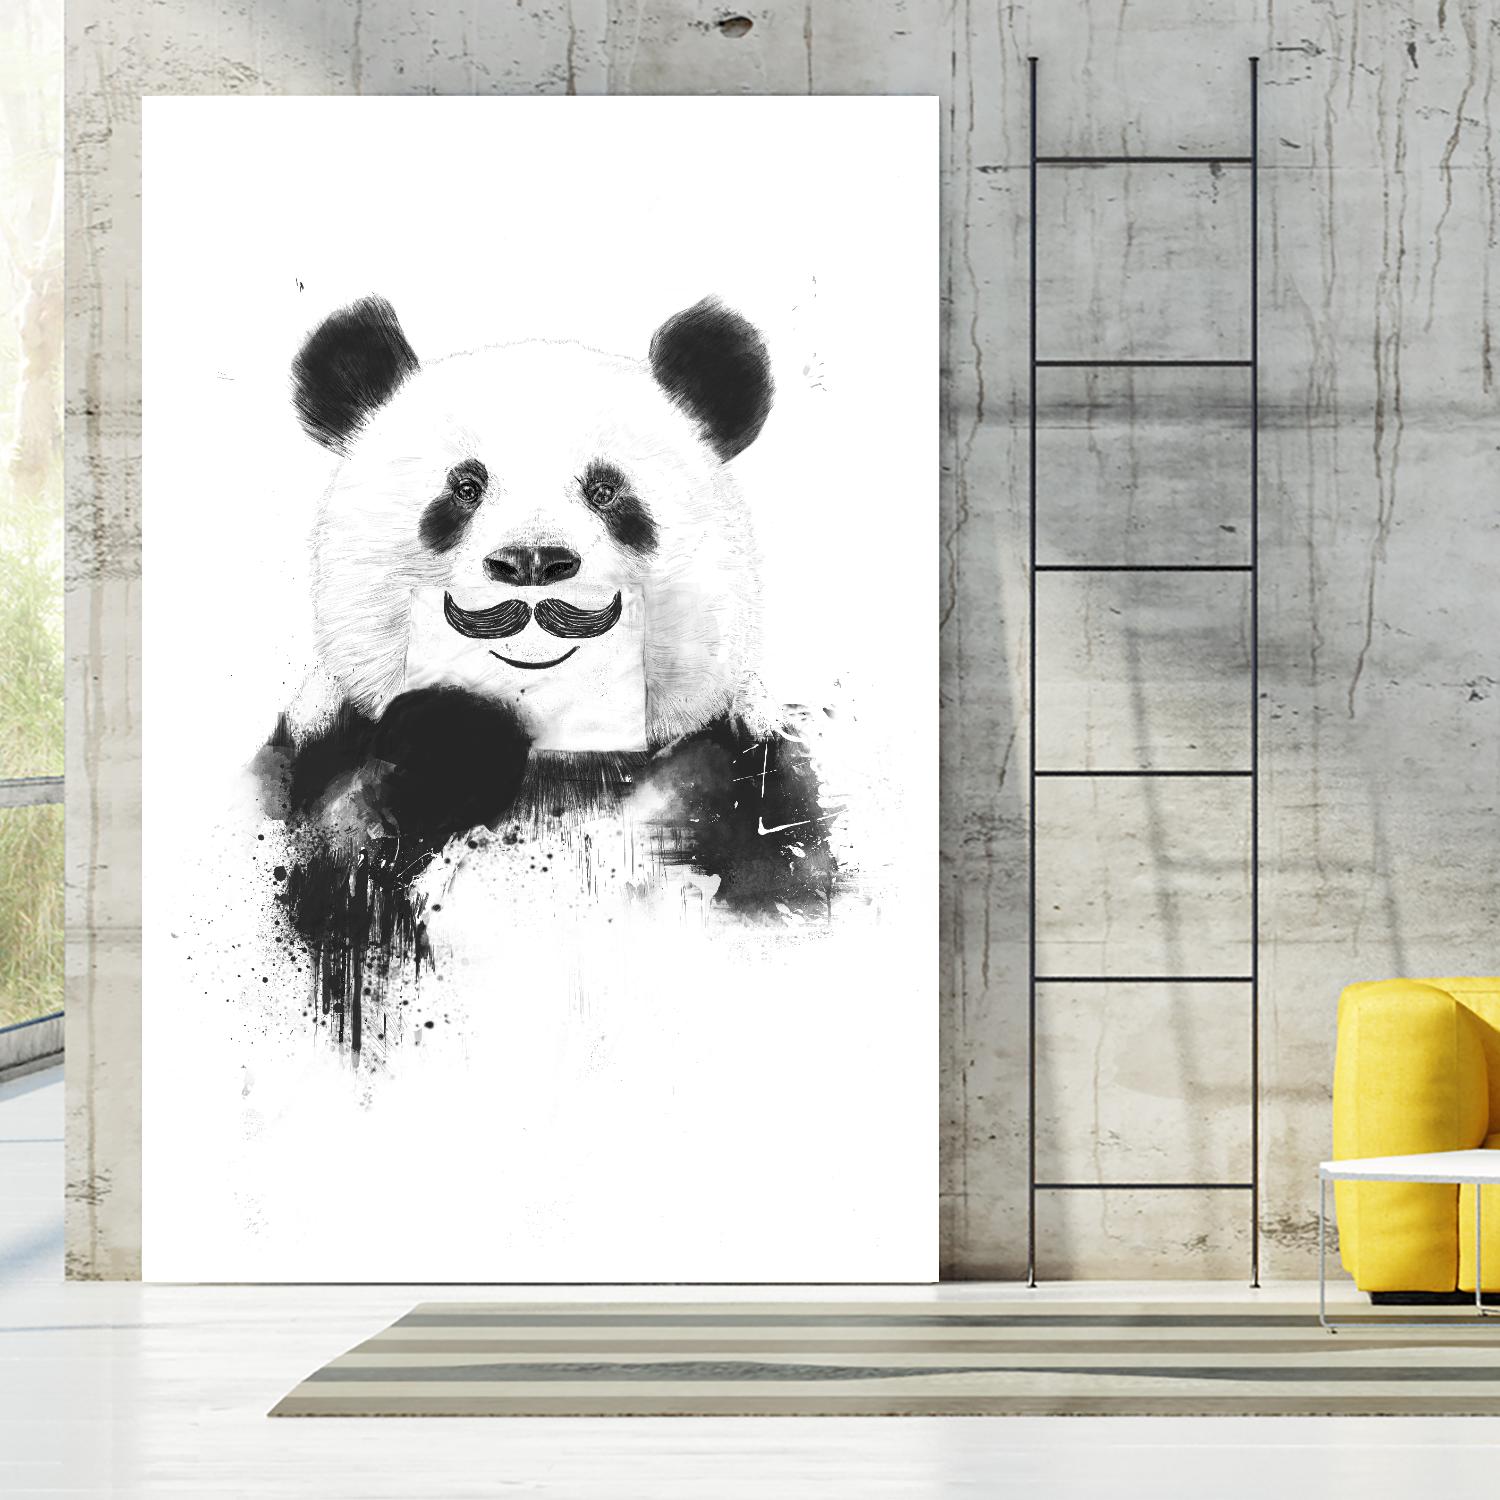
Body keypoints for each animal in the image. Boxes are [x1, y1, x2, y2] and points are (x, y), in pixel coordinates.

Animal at [254, 295, 838, 1059]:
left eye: (606, 490)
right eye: (465, 487)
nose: (532, 561)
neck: (556, 758)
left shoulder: (739, 772)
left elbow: (784, 877)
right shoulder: (312, 764)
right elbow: (334, 873)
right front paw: (452, 741)